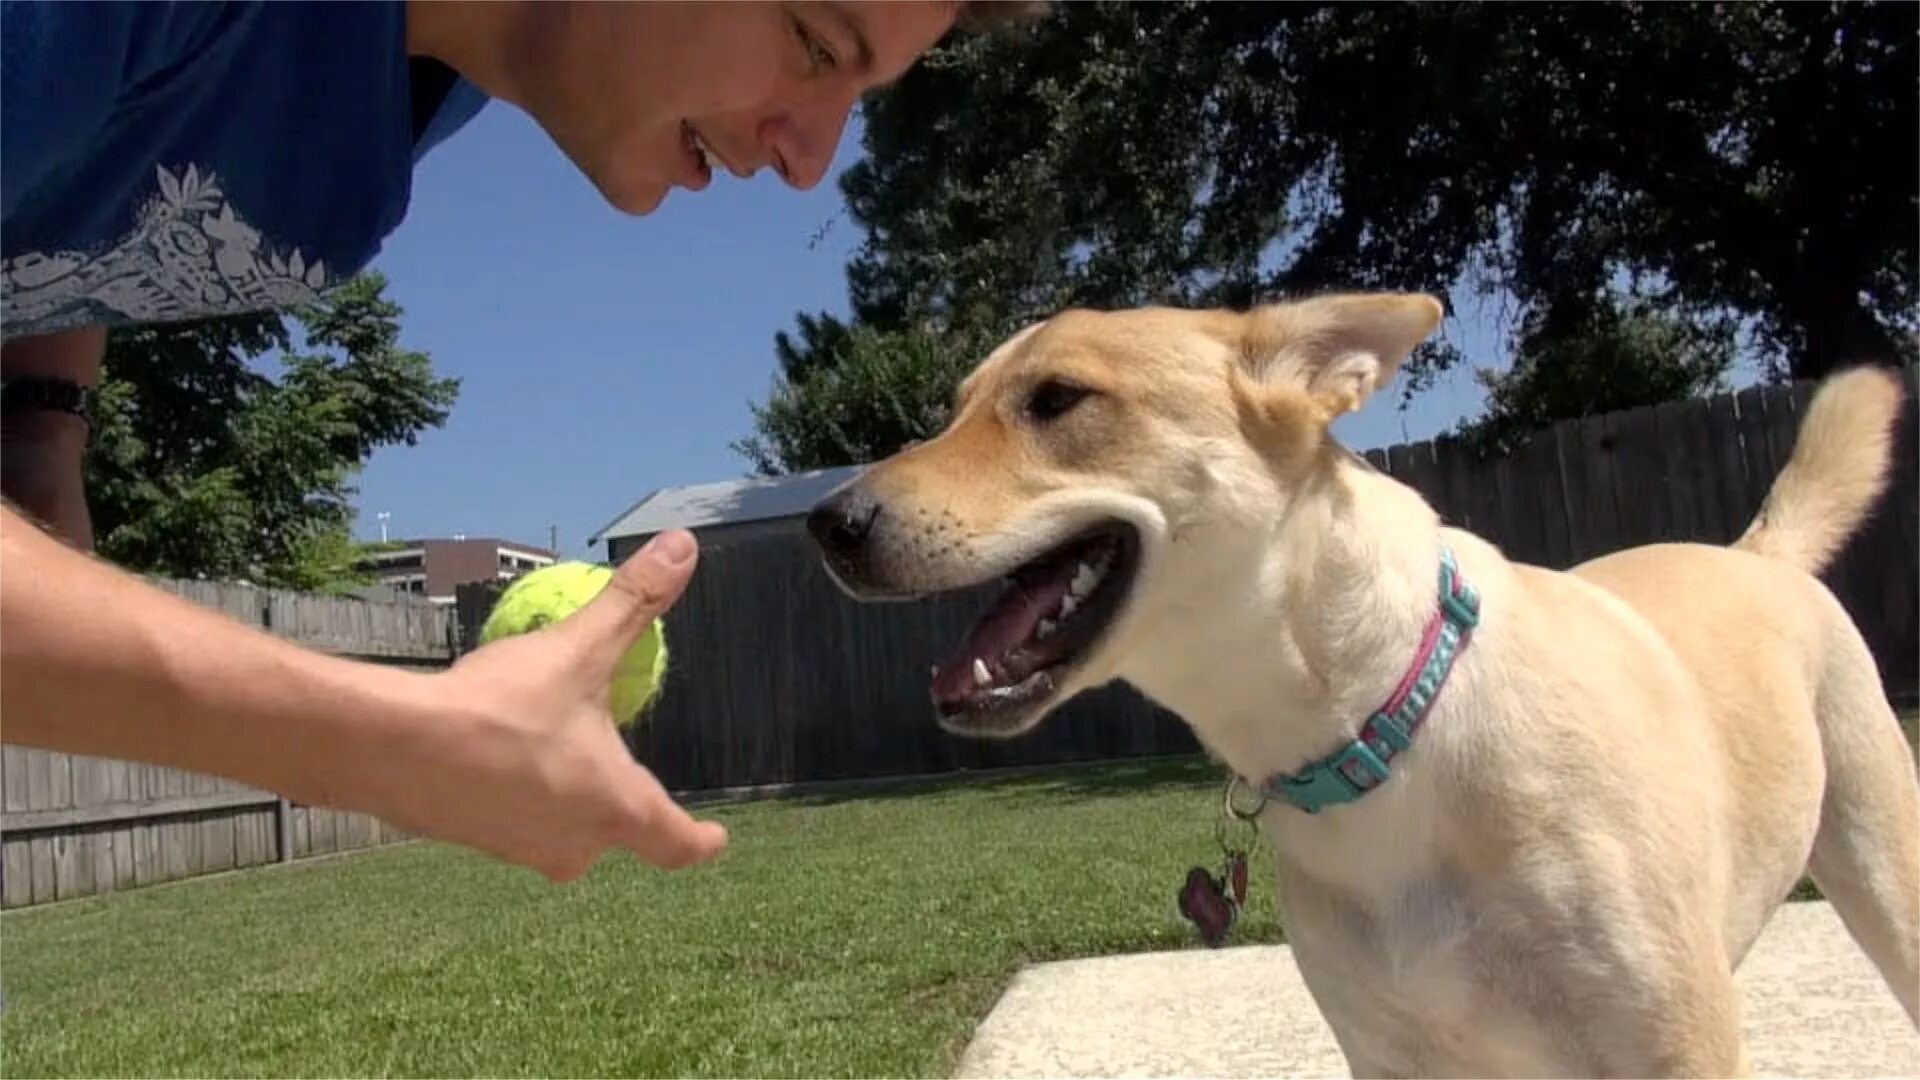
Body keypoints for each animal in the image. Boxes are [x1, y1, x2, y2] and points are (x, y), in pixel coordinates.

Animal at [802, 290, 1912, 1068]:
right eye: (954, 411)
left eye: (1058, 398)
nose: (829, 522)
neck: (1379, 732)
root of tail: (1758, 552)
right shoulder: (1393, 1054)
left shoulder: (1671, 1041)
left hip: (1885, 872)